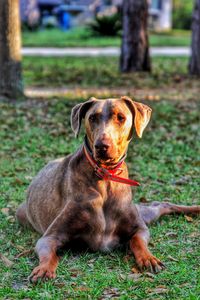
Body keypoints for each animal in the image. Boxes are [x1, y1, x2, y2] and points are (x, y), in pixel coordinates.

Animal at [16, 95, 200, 282]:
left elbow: (138, 242)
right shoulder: (49, 237)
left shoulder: (140, 228)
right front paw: (44, 269)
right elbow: (49, 253)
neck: (105, 178)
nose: (101, 146)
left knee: (162, 204)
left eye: (121, 117)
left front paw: (148, 258)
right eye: (92, 118)